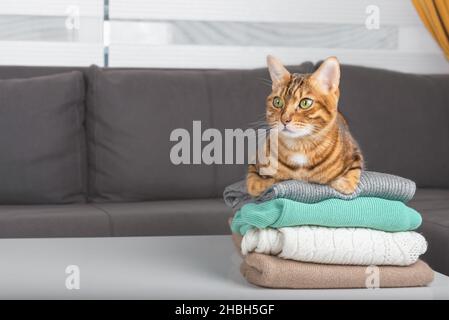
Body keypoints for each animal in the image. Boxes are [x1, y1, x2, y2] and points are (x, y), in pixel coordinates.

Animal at [247, 56, 362, 198]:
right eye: (277, 102)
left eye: (305, 103)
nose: (284, 119)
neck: (300, 147)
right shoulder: (254, 164)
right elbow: (254, 184)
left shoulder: (355, 154)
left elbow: (352, 175)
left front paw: (343, 183)